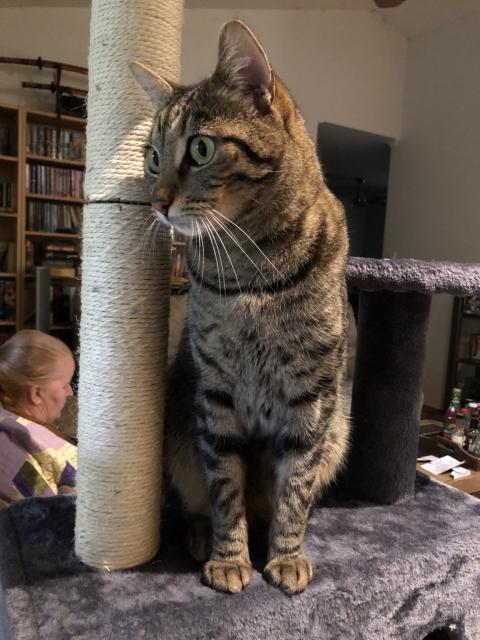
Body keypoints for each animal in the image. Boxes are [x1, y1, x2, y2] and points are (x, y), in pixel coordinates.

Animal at [131, 21, 348, 600]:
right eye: (152, 158)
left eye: (201, 149)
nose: (156, 202)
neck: (252, 272)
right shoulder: (217, 393)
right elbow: (225, 486)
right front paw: (230, 560)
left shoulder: (311, 396)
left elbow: (294, 488)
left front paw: (286, 556)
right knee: (201, 501)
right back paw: (203, 537)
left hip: (338, 429)